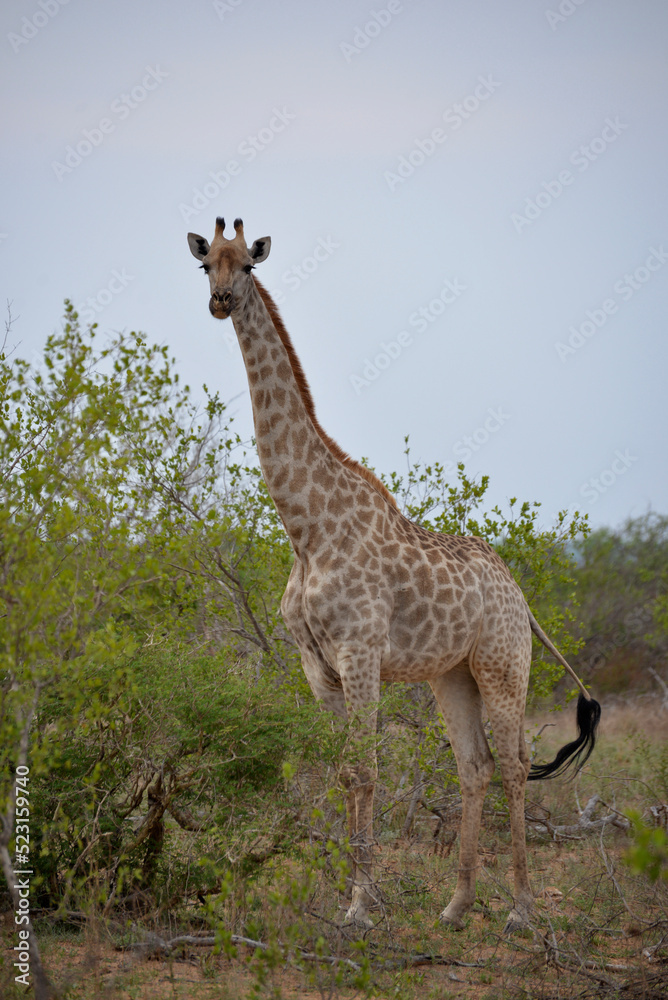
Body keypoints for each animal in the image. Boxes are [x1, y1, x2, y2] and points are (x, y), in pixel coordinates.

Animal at [187, 217, 601, 932]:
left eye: (249, 265)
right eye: (205, 263)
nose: (219, 301)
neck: (306, 529)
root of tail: (521, 598)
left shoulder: (359, 653)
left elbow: (367, 770)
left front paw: (360, 905)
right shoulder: (317, 665)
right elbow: (343, 770)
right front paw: (356, 897)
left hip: (503, 665)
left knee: (515, 764)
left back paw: (521, 910)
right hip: (451, 676)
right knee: (475, 765)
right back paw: (457, 907)